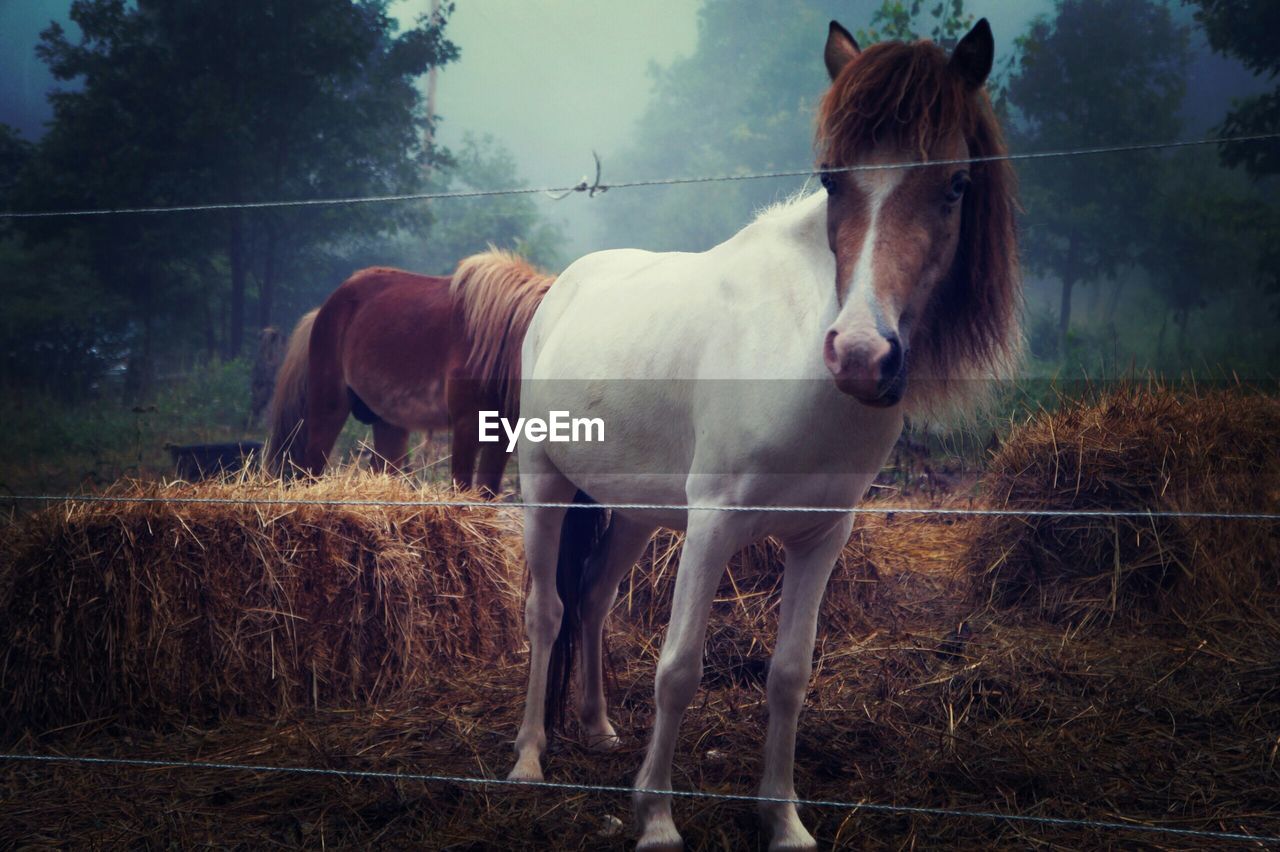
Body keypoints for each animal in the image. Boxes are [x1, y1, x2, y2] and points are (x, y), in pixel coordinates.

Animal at [267, 249, 552, 488]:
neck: (498, 339)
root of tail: (324, 309)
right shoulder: (467, 426)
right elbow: (461, 490)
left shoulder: (502, 435)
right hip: (329, 409)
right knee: (310, 470)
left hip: (389, 424)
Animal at [504, 19, 1013, 849]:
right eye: (833, 179)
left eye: (956, 185)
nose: (861, 355)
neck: (797, 354)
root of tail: (562, 287)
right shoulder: (713, 525)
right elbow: (679, 669)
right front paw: (657, 819)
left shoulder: (820, 538)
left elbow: (789, 676)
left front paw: (783, 821)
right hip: (545, 483)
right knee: (547, 611)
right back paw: (528, 759)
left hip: (635, 512)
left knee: (594, 600)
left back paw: (599, 728)